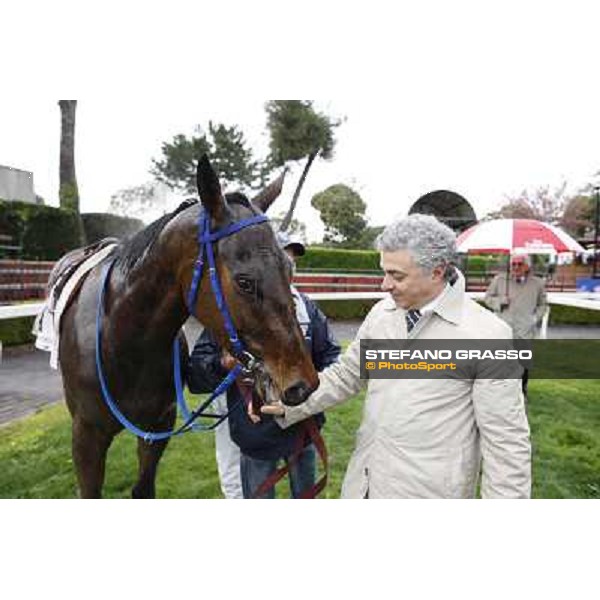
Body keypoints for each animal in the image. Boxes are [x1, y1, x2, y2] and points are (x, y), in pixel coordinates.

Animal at [56, 155, 318, 496]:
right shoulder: (86, 437)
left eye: (289, 268)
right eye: (244, 282)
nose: (304, 384)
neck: (120, 339)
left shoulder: (158, 426)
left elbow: (143, 489)